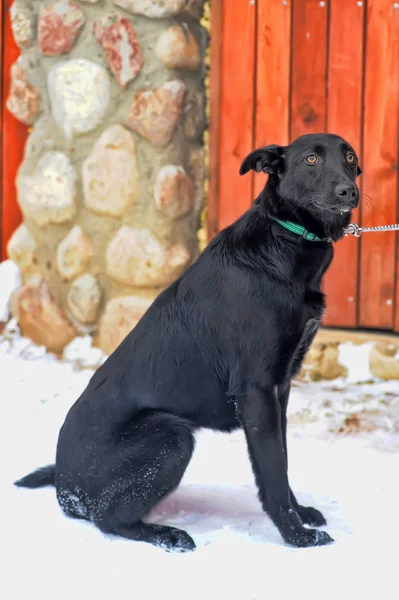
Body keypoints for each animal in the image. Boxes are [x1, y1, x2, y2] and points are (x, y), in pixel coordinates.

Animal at [15, 134, 362, 552]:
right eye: (311, 159)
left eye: (350, 157)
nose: (350, 191)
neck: (285, 238)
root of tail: (65, 487)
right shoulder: (256, 391)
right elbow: (273, 470)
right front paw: (296, 536)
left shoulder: (280, 389)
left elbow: (283, 458)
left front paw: (301, 514)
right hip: (171, 436)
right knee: (106, 517)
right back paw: (168, 535)